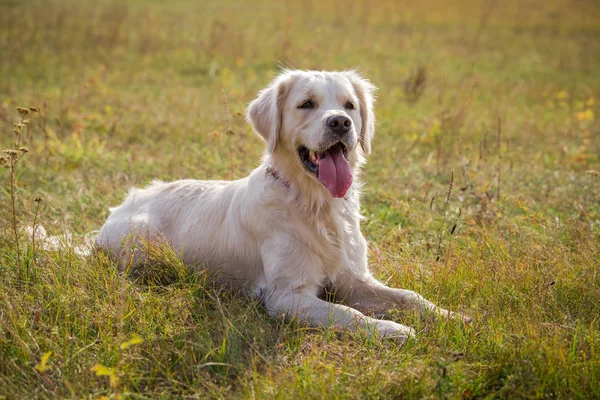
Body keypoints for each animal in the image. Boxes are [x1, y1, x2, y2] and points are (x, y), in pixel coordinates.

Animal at [98, 69, 472, 344]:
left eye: (350, 105)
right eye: (307, 104)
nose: (341, 122)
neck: (316, 205)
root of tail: (124, 202)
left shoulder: (354, 279)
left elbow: (410, 296)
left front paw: (454, 317)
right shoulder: (286, 295)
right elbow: (348, 313)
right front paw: (393, 330)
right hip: (143, 242)